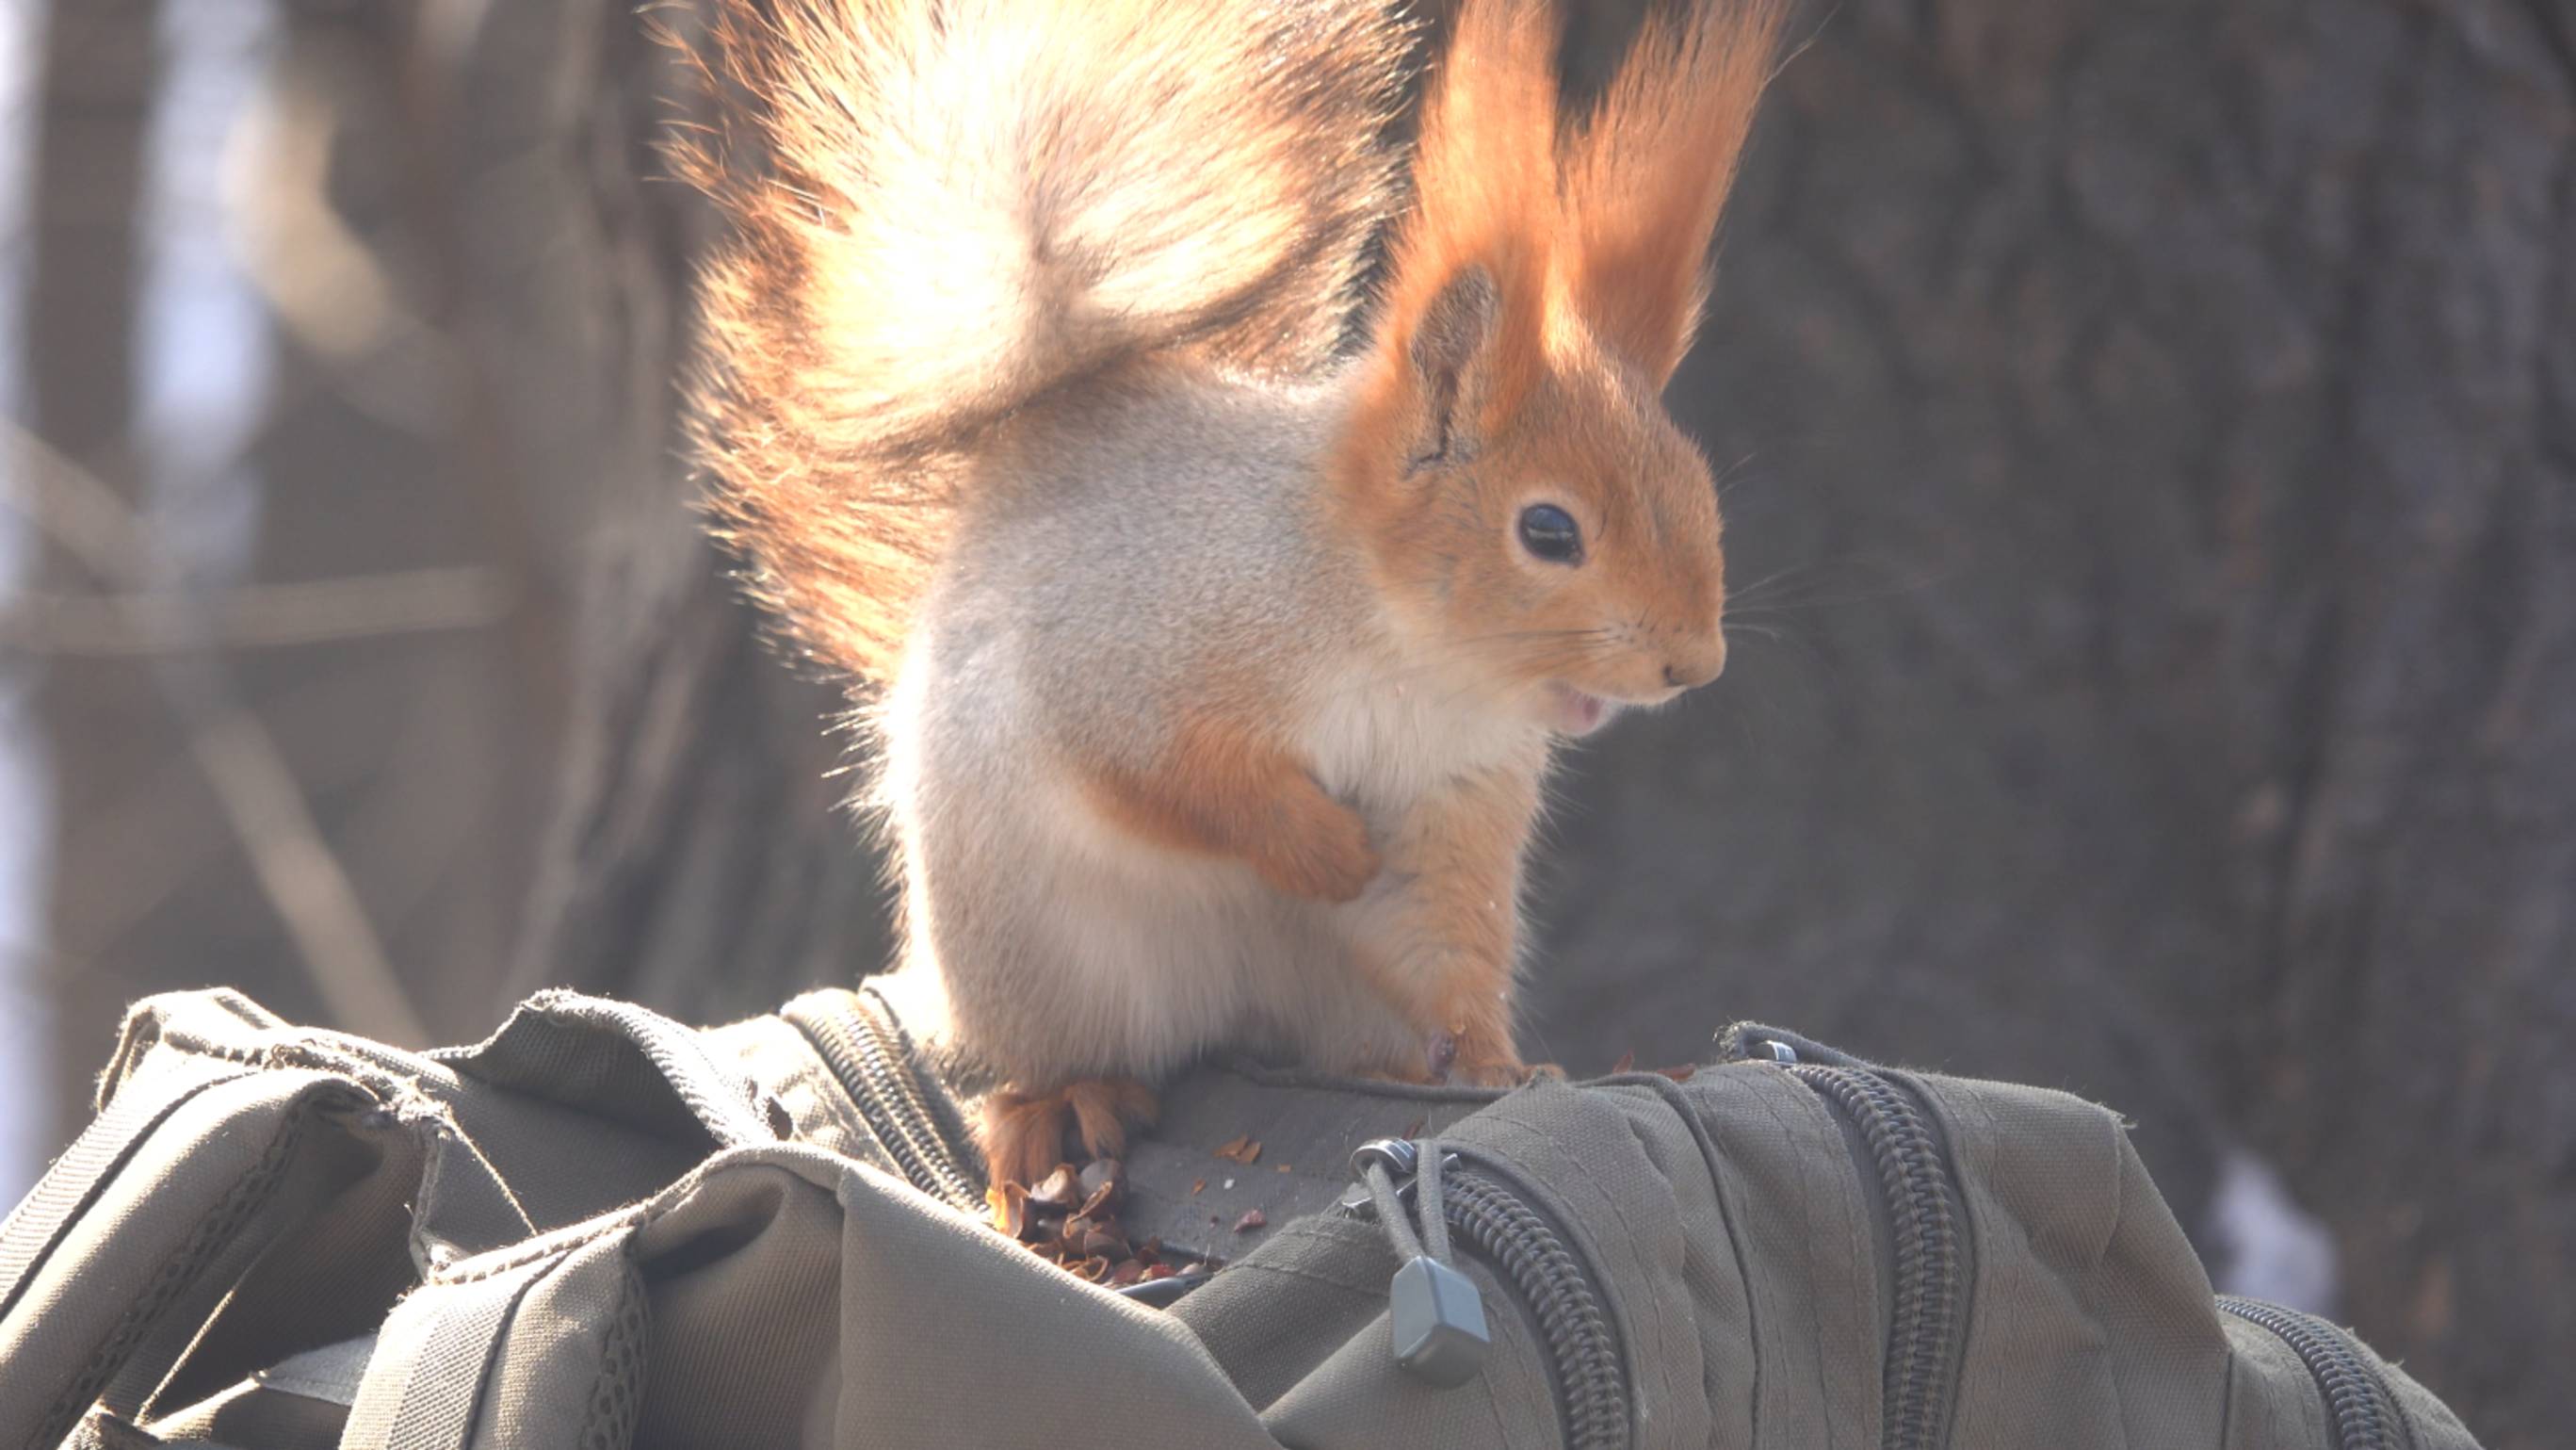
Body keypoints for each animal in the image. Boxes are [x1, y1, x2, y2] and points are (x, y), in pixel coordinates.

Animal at [674, 0, 1782, 1184]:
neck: (1405, 653)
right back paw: (1062, 1105)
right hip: (1038, 961)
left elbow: (1437, 936)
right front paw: (1320, 849)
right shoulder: (1125, 657)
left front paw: (1495, 1062)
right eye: (1547, 531)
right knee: (1047, 1056)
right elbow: (1172, 776)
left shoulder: (1457, 800)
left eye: (1697, 490)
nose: (1693, 663)